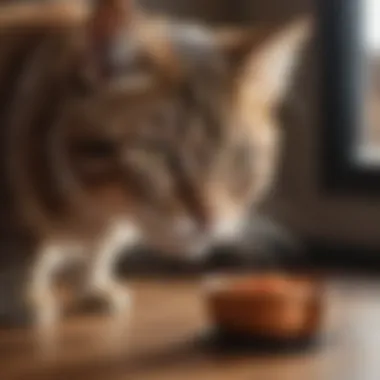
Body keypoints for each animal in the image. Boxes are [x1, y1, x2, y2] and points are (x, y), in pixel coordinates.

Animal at [1, 0, 310, 330]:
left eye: (238, 157)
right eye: (161, 152)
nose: (209, 219)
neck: (97, 211)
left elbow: (98, 255)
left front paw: (94, 286)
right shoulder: (17, 223)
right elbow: (22, 256)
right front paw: (25, 300)